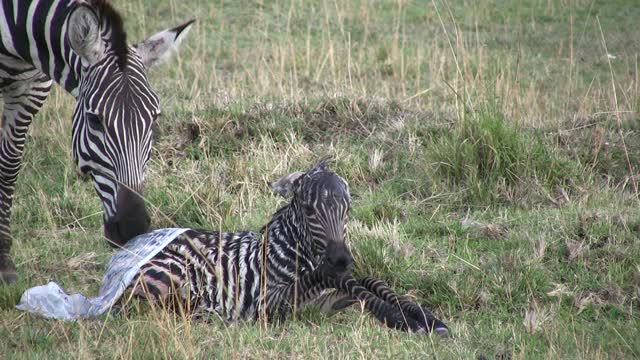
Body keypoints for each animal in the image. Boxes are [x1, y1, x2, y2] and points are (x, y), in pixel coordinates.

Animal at [0, 1, 194, 286]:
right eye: (94, 120)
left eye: (154, 119)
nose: (134, 227)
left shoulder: (33, 87)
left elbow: (9, 164)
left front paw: (3, 257)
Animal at [132, 162, 448, 336]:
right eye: (309, 210)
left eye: (348, 208)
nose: (341, 259)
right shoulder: (267, 304)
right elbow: (341, 279)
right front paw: (401, 319)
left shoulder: (323, 304)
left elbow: (368, 282)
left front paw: (425, 317)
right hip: (173, 276)